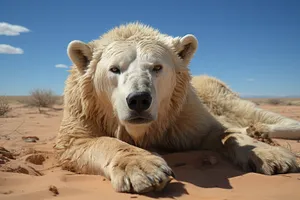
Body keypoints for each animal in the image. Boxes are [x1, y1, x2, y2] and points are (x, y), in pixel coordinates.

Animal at [55, 22, 300, 194]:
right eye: (114, 69)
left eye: (157, 67)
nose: (139, 100)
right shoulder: (85, 111)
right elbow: (79, 141)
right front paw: (143, 169)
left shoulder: (183, 113)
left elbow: (219, 130)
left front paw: (273, 156)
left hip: (213, 89)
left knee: (248, 111)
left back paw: (260, 130)